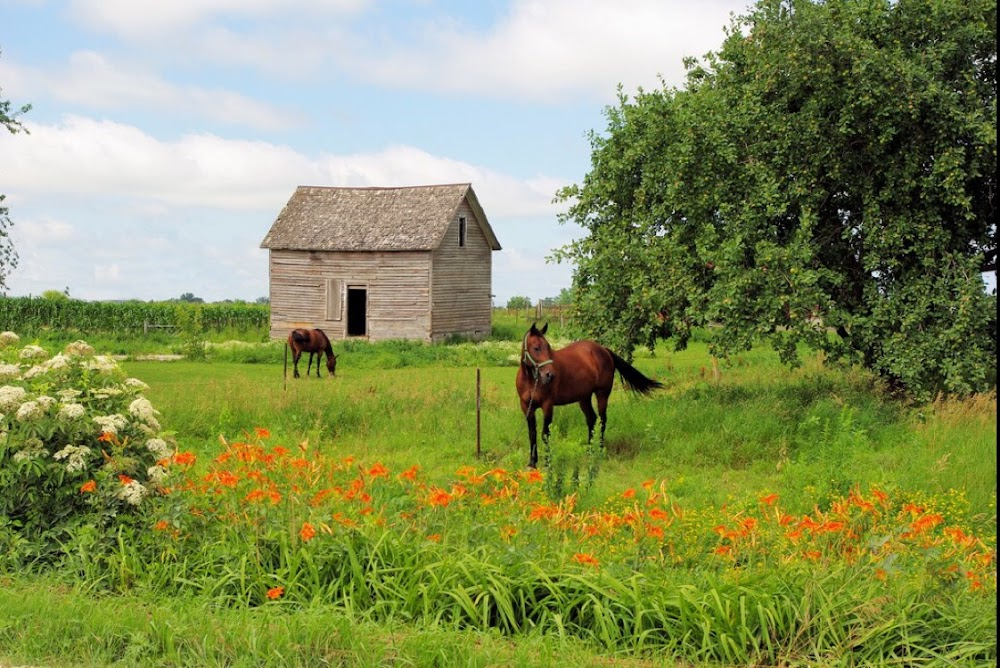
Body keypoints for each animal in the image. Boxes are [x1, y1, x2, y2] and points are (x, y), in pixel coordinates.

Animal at [516, 324, 664, 470]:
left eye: (548, 347)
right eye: (536, 348)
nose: (550, 375)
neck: (531, 380)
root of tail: (604, 350)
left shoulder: (547, 405)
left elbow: (545, 434)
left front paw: (548, 464)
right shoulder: (526, 406)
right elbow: (532, 434)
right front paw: (532, 463)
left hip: (602, 394)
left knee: (602, 420)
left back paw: (599, 450)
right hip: (584, 398)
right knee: (591, 419)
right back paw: (589, 451)